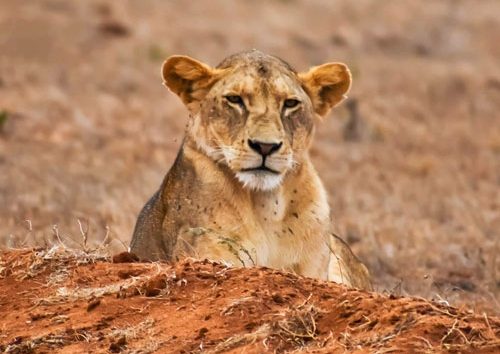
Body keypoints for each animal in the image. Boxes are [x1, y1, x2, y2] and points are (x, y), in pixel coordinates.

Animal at [131, 49, 374, 290]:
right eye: (234, 99)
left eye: (290, 103)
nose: (265, 146)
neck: (266, 205)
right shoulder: (205, 252)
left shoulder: (314, 265)